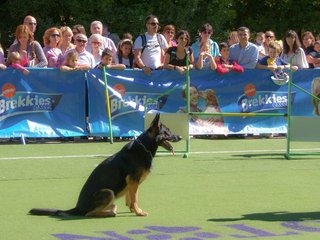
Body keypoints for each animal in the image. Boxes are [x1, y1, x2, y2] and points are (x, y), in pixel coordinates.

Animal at [29, 114, 181, 218]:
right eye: (167, 131)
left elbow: (130, 199)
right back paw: (109, 213)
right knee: (89, 214)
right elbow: (135, 199)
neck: (144, 147)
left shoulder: (131, 183)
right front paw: (138, 212)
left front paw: (133, 210)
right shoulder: (134, 180)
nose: (180, 137)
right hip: (108, 192)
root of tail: (77, 207)